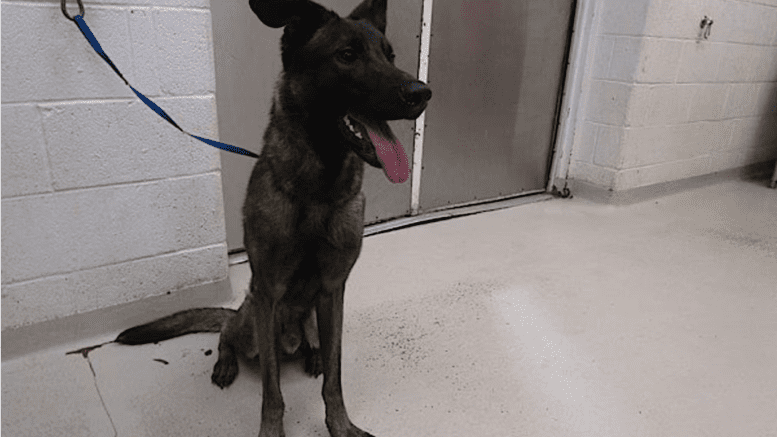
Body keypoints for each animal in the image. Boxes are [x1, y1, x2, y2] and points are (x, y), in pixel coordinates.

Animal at [114, 0, 430, 436]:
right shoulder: (269, 292)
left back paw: (311, 355)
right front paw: (272, 428)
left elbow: (335, 376)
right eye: (347, 55)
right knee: (230, 334)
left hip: (312, 318)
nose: (422, 92)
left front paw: (340, 424)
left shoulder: (333, 291)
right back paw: (226, 362)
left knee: (315, 348)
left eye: (391, 56)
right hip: (251, 322)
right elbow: (272, 390)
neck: (319, 191)